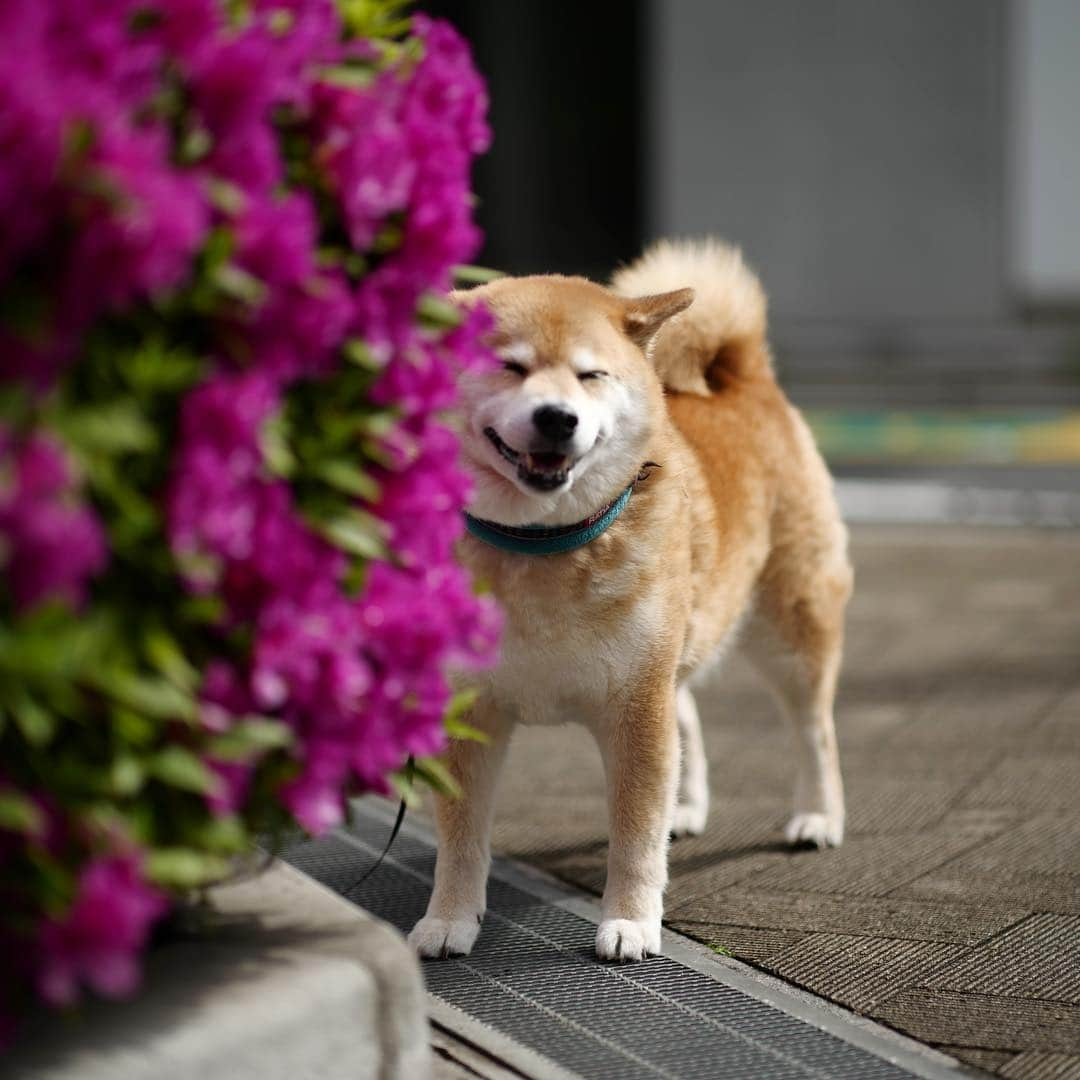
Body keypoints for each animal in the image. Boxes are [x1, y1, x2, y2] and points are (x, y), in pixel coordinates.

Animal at [406, 243, 851, 963]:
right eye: (511, 366)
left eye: (590, 375)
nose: (557, 416)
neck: (542, 545)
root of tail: (744, 379)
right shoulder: (473, 711)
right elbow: (462, 836)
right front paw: (448, 919)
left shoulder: (635, 709)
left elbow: (634, 837)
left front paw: (632, 923)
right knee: (688, 713)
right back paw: (687, 809)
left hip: (788, 629)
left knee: (814, 729)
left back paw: (817, 815)